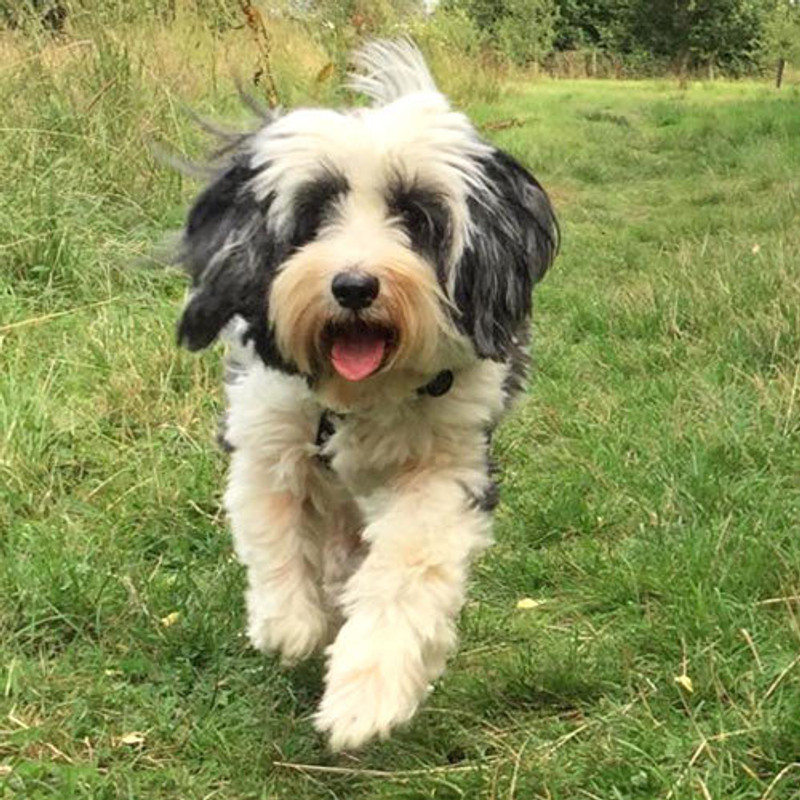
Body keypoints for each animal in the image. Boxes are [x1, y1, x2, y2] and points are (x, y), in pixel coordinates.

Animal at [178, 39, 560, 752]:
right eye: (313, 214)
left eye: (416, 215)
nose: (353, 285)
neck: (363, 399)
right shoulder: (266, 427)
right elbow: (273, 525)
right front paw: (289, 623)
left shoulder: (449, 466)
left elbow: (408, 569)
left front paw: (367, 692)